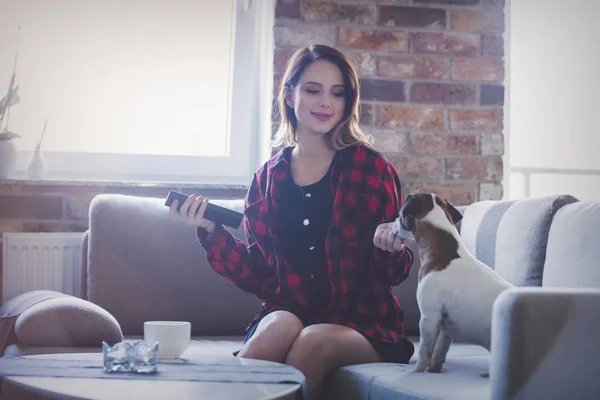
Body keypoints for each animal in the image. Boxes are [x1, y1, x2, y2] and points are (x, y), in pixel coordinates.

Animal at [392, 192, 512, 374]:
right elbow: (439, 351)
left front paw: (417, 371)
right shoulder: (445, 329)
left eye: (400, 214)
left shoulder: (429, 318)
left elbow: (425, 351)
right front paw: (434, 369)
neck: (443, 252)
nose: (391, 223)